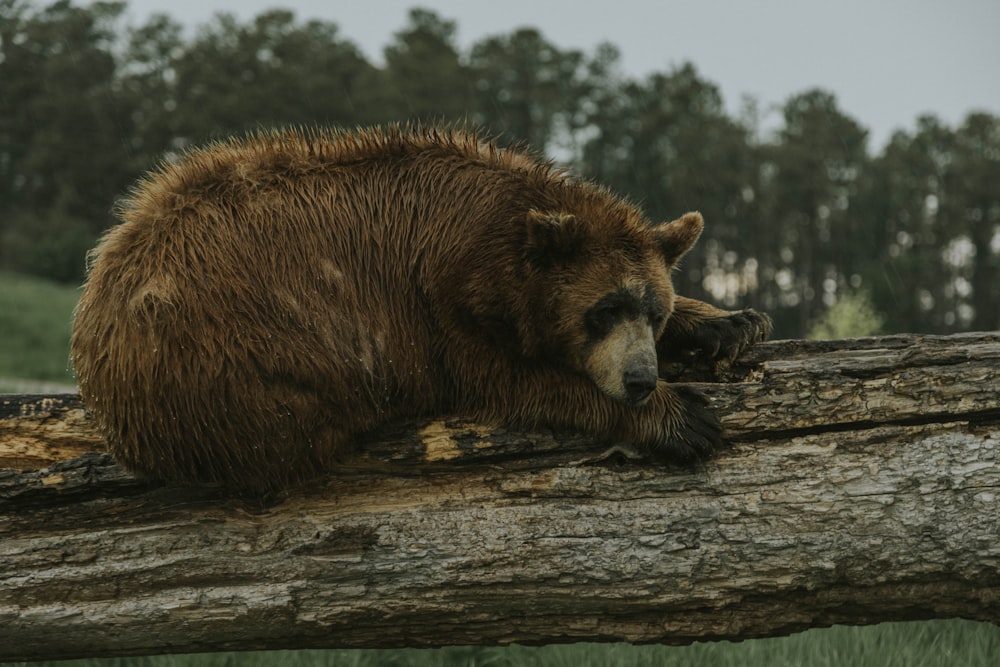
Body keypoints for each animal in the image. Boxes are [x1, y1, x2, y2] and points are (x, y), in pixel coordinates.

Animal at [72, 126, 772, 490]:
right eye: (602, 310)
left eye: (650, 311)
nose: (640, 380)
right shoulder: (428, 304)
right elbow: (504, 379)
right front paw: (685, 419)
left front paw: (732, 323)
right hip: (226, 349)